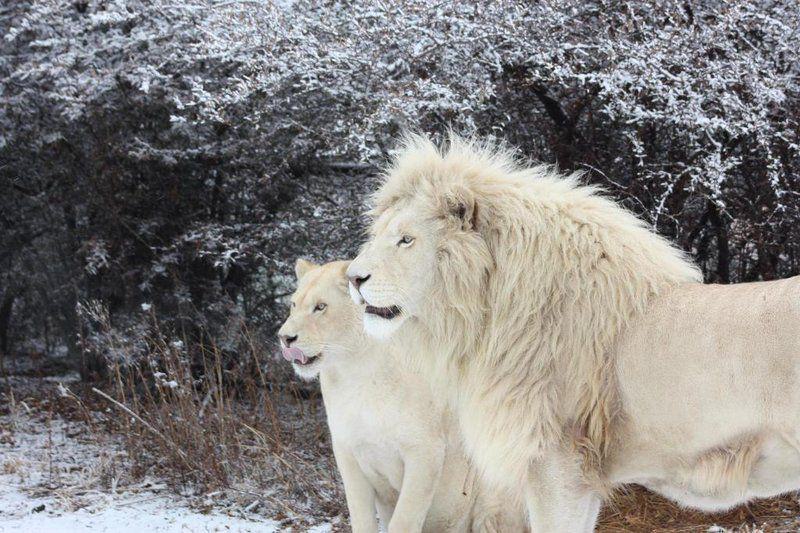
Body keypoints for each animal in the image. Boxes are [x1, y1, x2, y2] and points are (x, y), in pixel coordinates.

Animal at [276, 256, 524, 528]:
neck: (355, 372)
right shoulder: (348, 454)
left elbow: (404, 518)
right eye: (293, 304)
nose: (285, 338)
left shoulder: (425, 452)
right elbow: (362, 518)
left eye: (320, 307)